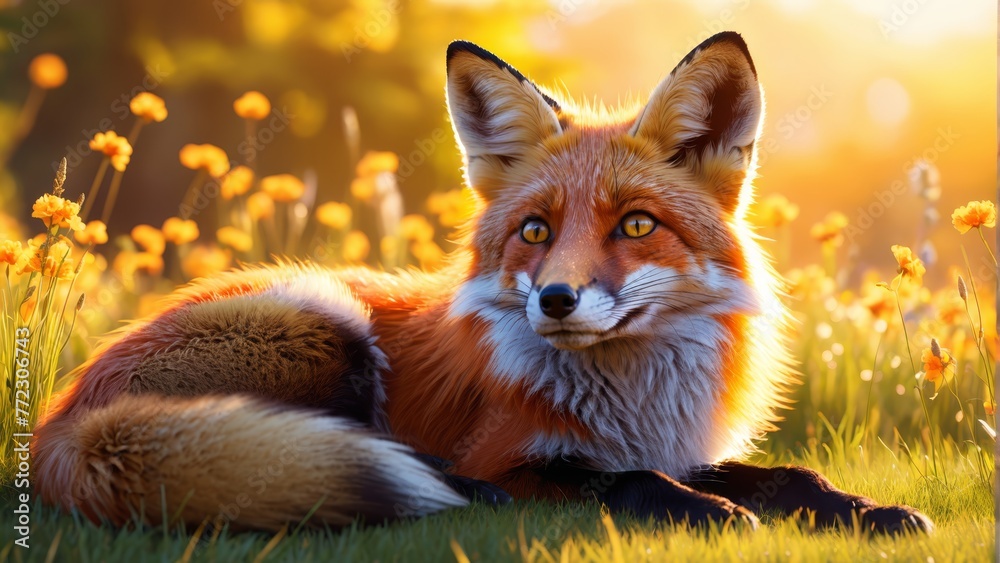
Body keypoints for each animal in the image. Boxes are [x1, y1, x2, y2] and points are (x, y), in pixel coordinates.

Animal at [33, 32, 932, 534]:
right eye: (535, 231)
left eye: (636, 225)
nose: (555, 300)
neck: (631, 396)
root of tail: (59, 420)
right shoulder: (526, 454)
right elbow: (626, 480)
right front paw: (715, 516)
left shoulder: (678, 444)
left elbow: (794, 476)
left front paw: (868, 512)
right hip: (329, 323)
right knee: (367, 451)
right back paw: (444, 490)